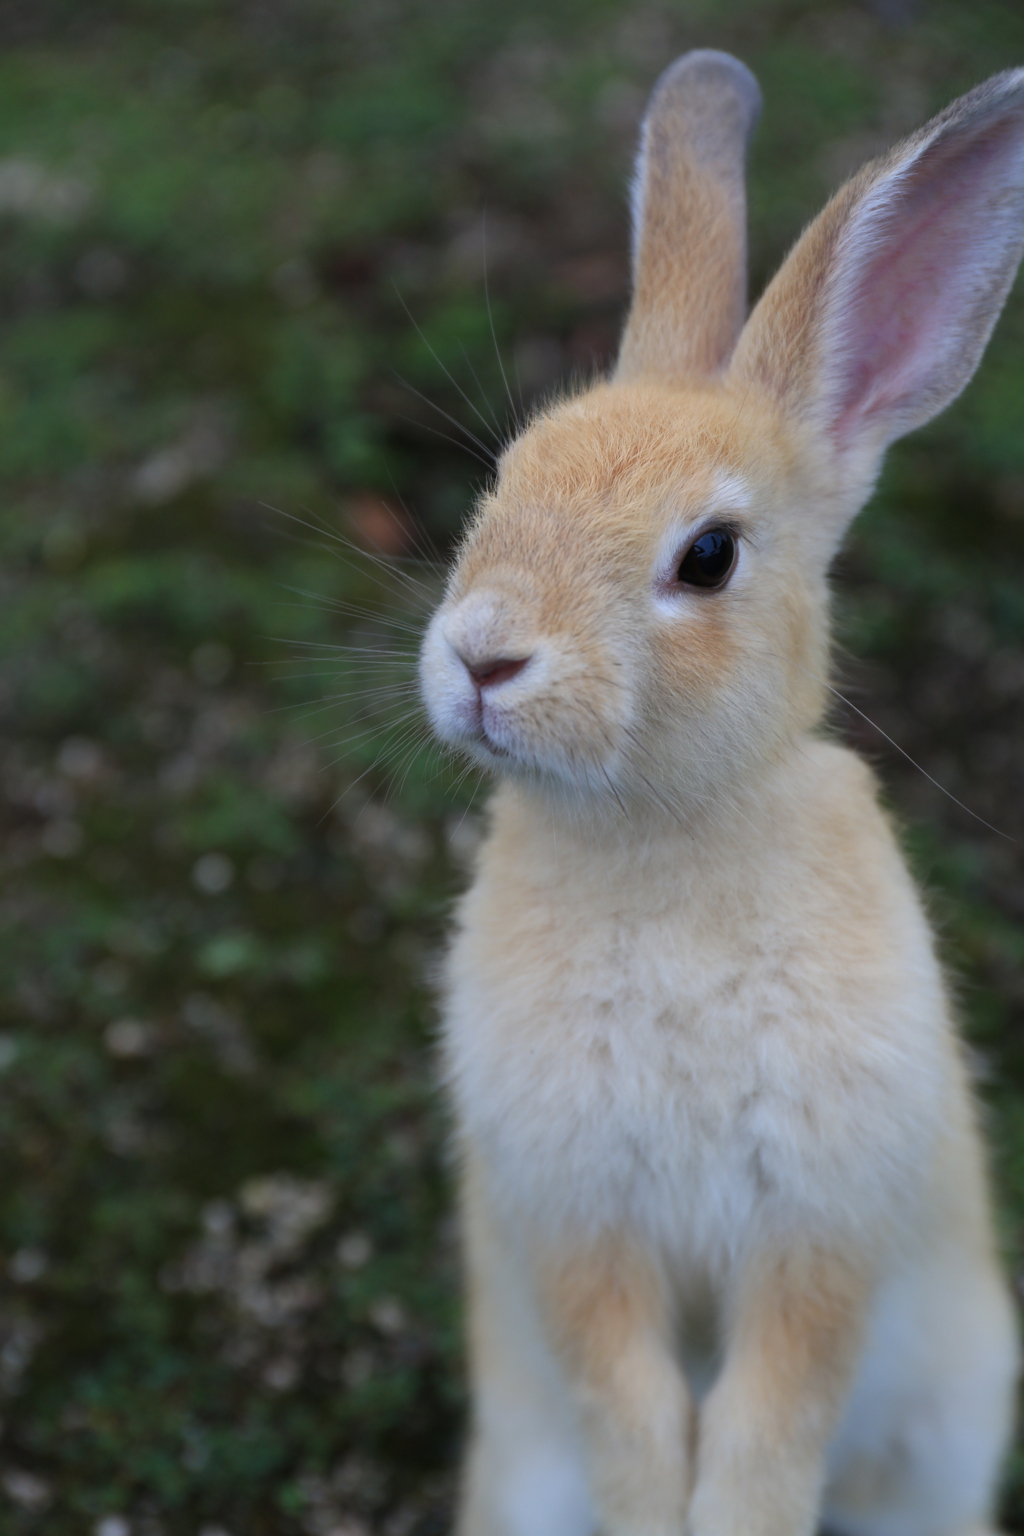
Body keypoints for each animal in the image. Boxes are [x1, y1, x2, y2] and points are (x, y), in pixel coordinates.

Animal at [417, 44, 1024, 1536]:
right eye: (504, 480)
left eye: (708, 557)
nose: (481, 656)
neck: (658, 833)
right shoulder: (582, 1236)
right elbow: (638, 1419)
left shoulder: (815, 1236)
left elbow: (760, 1429)